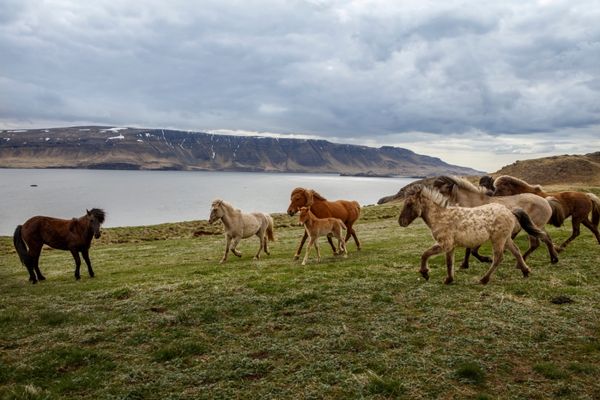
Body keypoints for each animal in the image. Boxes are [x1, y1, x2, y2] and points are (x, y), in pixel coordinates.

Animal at [398, 185, 544, 284]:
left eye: (409, 204)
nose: (401, 222)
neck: (441, 216)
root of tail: (510, 211)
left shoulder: (444, 244)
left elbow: (425, 254)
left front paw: (425, 273)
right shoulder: (450, 247)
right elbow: (449, 262)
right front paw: (449, 279)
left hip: (498, 239)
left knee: (498, 258)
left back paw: (484, 279)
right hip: (506, 239)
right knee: (517, 252)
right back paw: (525, 271)